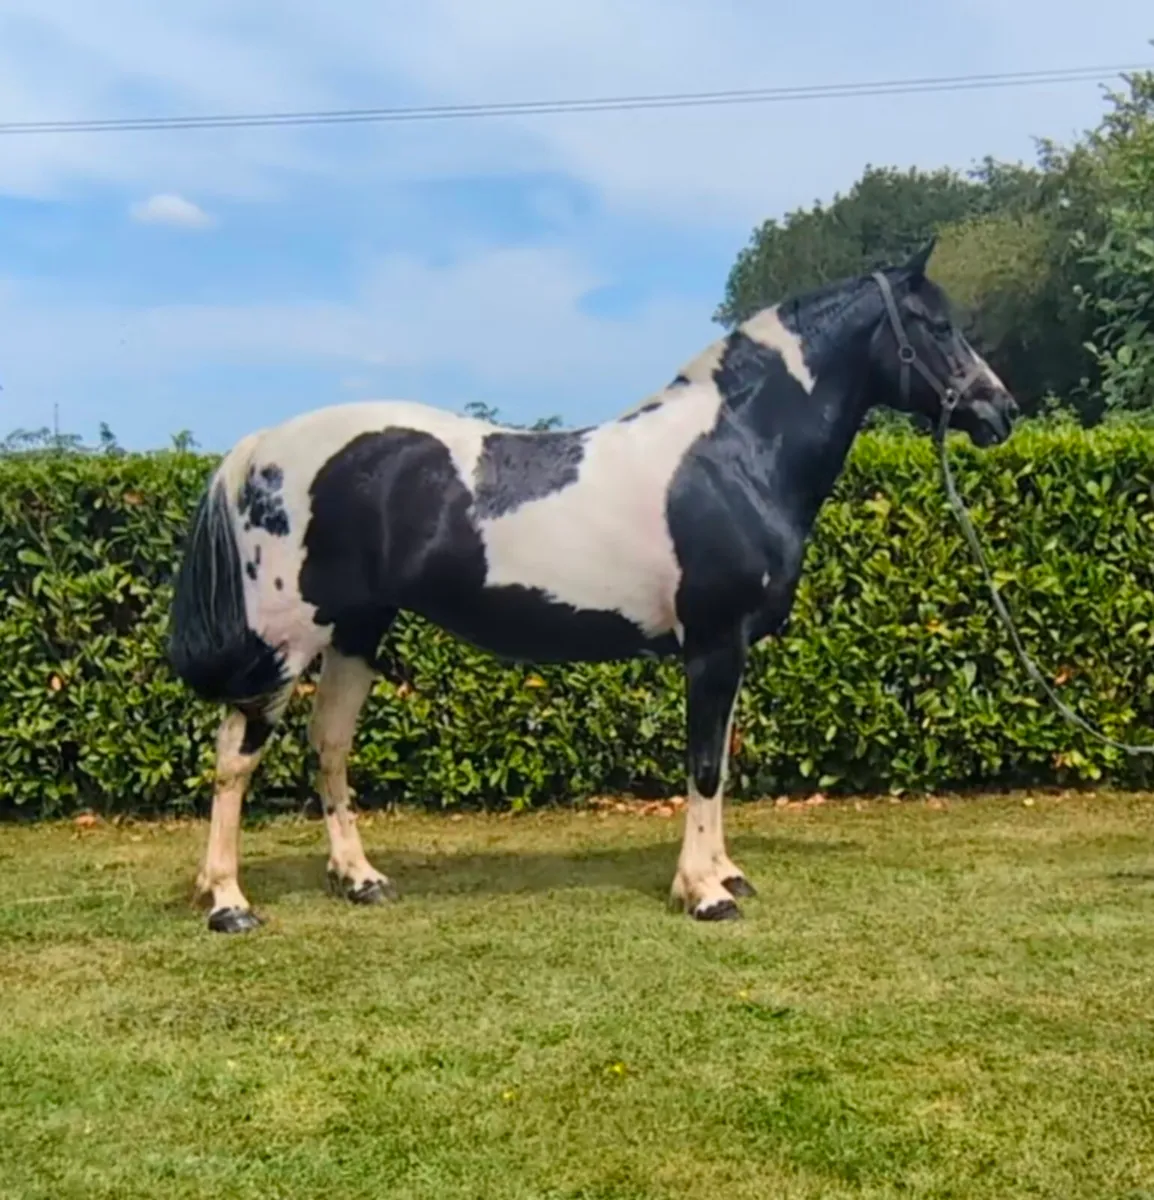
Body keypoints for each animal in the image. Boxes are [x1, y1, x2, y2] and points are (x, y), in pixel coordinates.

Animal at [167, 237, 1018, 933]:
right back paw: (229, 903)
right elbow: (704, 765)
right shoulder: (713, 643)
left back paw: (360, 879)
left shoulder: (730, 649)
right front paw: (704, 893)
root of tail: (260, 447)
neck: (733, 455)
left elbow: (721, 758)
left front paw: (727, 874)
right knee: (235, 756)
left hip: (358, 630)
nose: (1000, 410)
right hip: (288, 640)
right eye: (936, 325)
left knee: (330, 743)